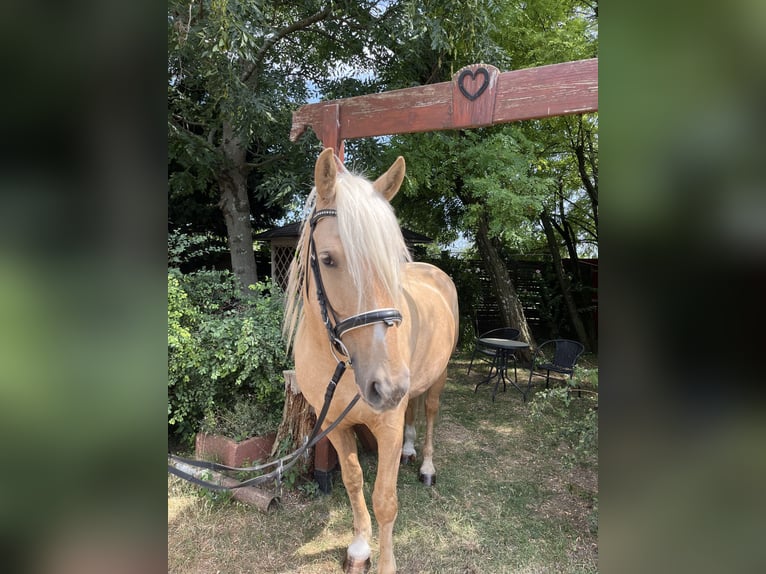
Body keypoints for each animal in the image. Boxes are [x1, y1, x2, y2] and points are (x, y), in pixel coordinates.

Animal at [284, 150, 460, 574]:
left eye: (393, 261)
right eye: (328, 259)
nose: (388, 385)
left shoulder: (387, 425)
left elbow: (384, 500)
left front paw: (385, 563)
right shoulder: (333, 423)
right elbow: (352, 479)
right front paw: (361, 547)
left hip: (437, 379)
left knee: (429, 412)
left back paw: (426, 466)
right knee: (413, 410)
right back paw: (411, 451)